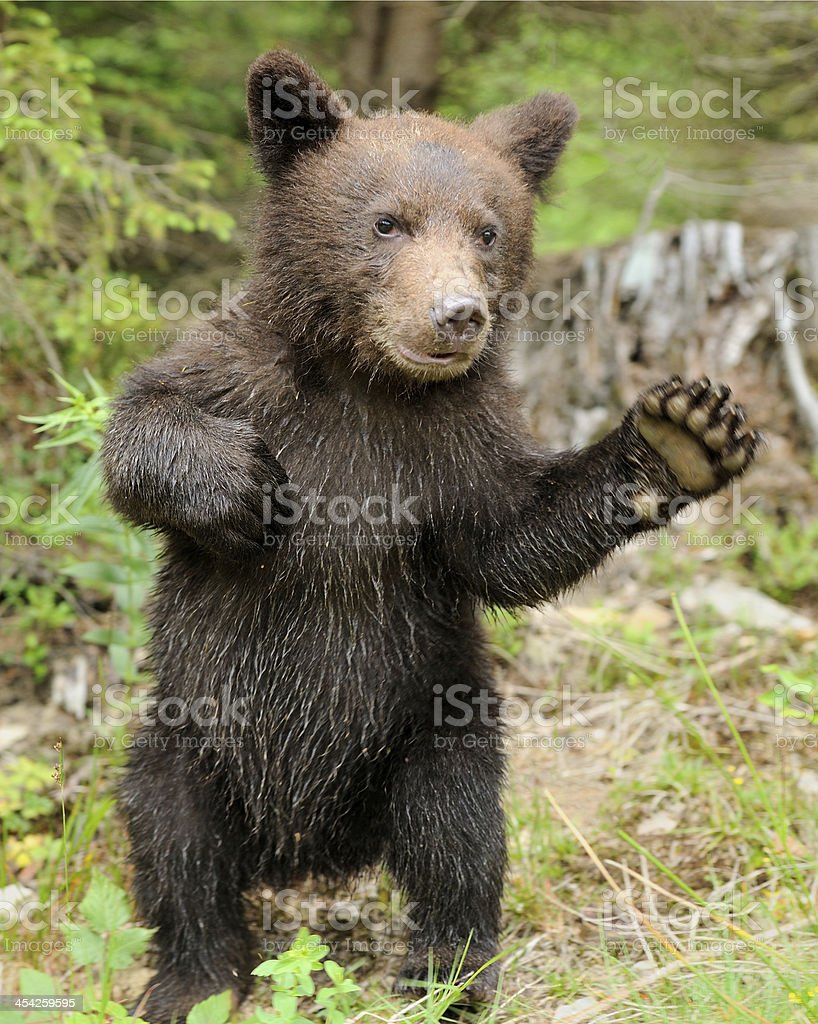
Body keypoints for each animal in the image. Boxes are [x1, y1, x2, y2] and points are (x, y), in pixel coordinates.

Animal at [101, 50, 761, 1022]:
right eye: (387, 221)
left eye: (486, 230)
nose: (457, 313)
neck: (368, 381)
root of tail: (309, 850)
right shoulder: (240, 376)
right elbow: (139, 433)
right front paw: (246, 488)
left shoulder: (455, 444)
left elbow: (509, 542)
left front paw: (683, 433)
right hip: (193, 729)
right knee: (174, 836)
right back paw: (195, 977)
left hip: (429, 721)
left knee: (455, 834)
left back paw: (447, 975)